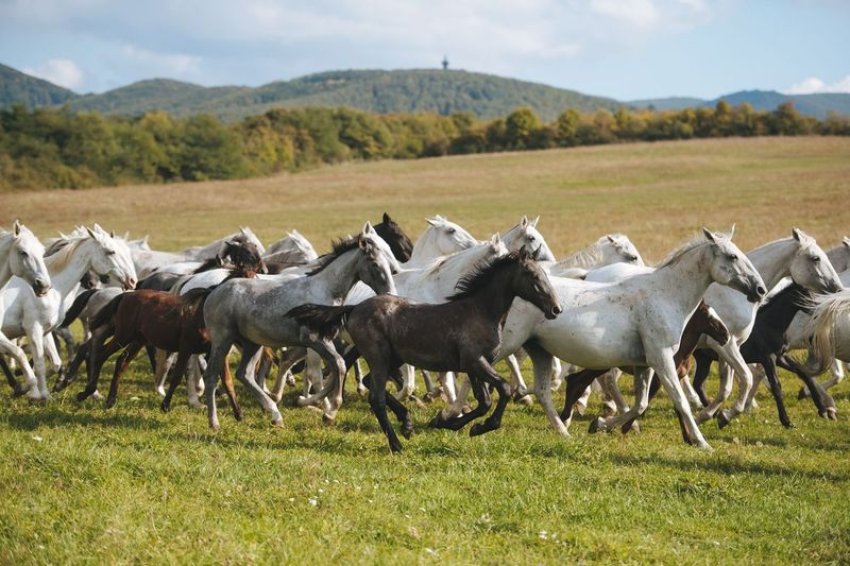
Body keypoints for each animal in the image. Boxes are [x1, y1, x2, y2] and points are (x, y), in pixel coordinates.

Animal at [0, 224, 136, 402]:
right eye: (111, 251)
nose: (132, 281)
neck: (54, 290)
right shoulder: (33, 329)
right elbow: (38, 363)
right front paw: (35, 393)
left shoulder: (45, 331)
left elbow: (54, 363)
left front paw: (44, 393)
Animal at [288, 251, 560, 454]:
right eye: (532, 274)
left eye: (545, 273)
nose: (555, 309)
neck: (481, 312)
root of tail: (353, 308)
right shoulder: (475, 362)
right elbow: (501, 389)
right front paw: (476, 426)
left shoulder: (475, 365)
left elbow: (484, 401)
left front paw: (446, 422)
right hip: (379, 357)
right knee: (375, 397)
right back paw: (396, 443)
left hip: (390, 359)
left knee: (370, 384)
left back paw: (407, 425)